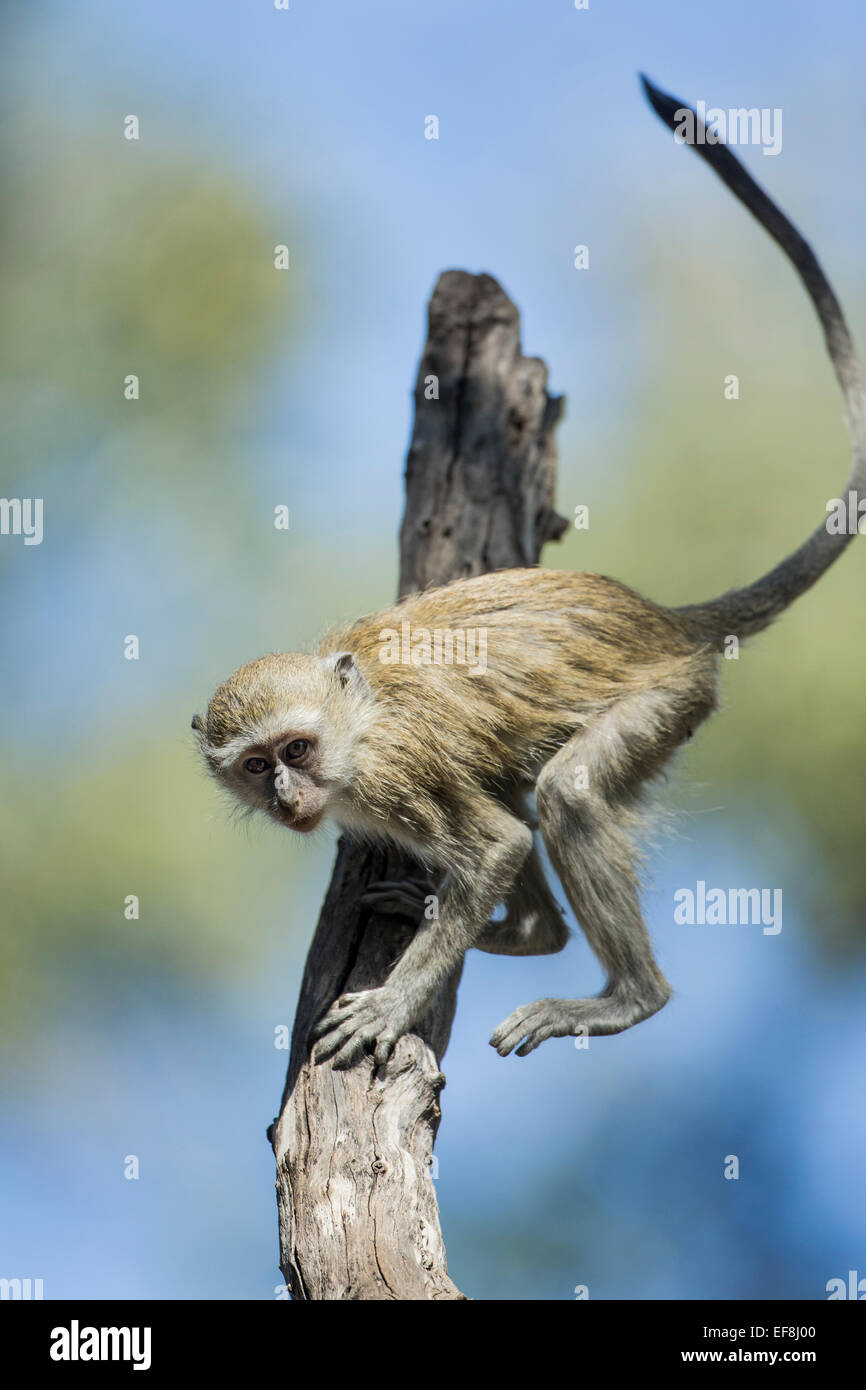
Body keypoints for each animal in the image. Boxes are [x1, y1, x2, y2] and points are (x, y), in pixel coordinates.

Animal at [193, 81, 861, 1067]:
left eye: (297, 750)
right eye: (253, 766)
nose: (286, 795)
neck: (357, 718)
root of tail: (664, 619)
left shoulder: (394, 772)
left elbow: (501, 844)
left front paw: (393, 1006)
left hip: (672, 697)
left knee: (567, 795)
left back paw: (628, 998)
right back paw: (532, 934)